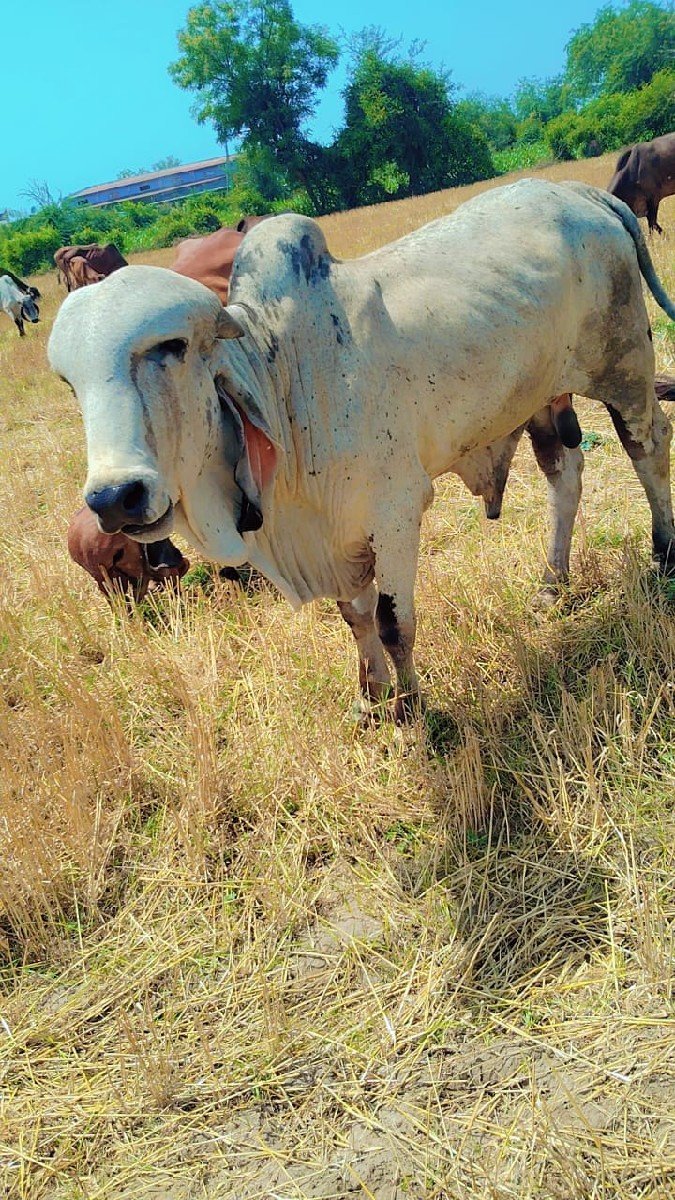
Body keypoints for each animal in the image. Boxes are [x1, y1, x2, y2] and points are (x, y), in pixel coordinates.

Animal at [48, 180, 675, 721]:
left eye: (173, 346)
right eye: (69, 383)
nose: (115, 498)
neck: (288, 381)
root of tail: (582, 192)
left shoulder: (394, 515)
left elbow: (395, 621)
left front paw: (414, 705)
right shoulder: (340, 535)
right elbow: (356, 616)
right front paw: (370, 698)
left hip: (624, 368)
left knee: (648, 446)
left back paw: (662, 554)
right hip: (542, 398)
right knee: (565, 474)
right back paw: (552, 583)